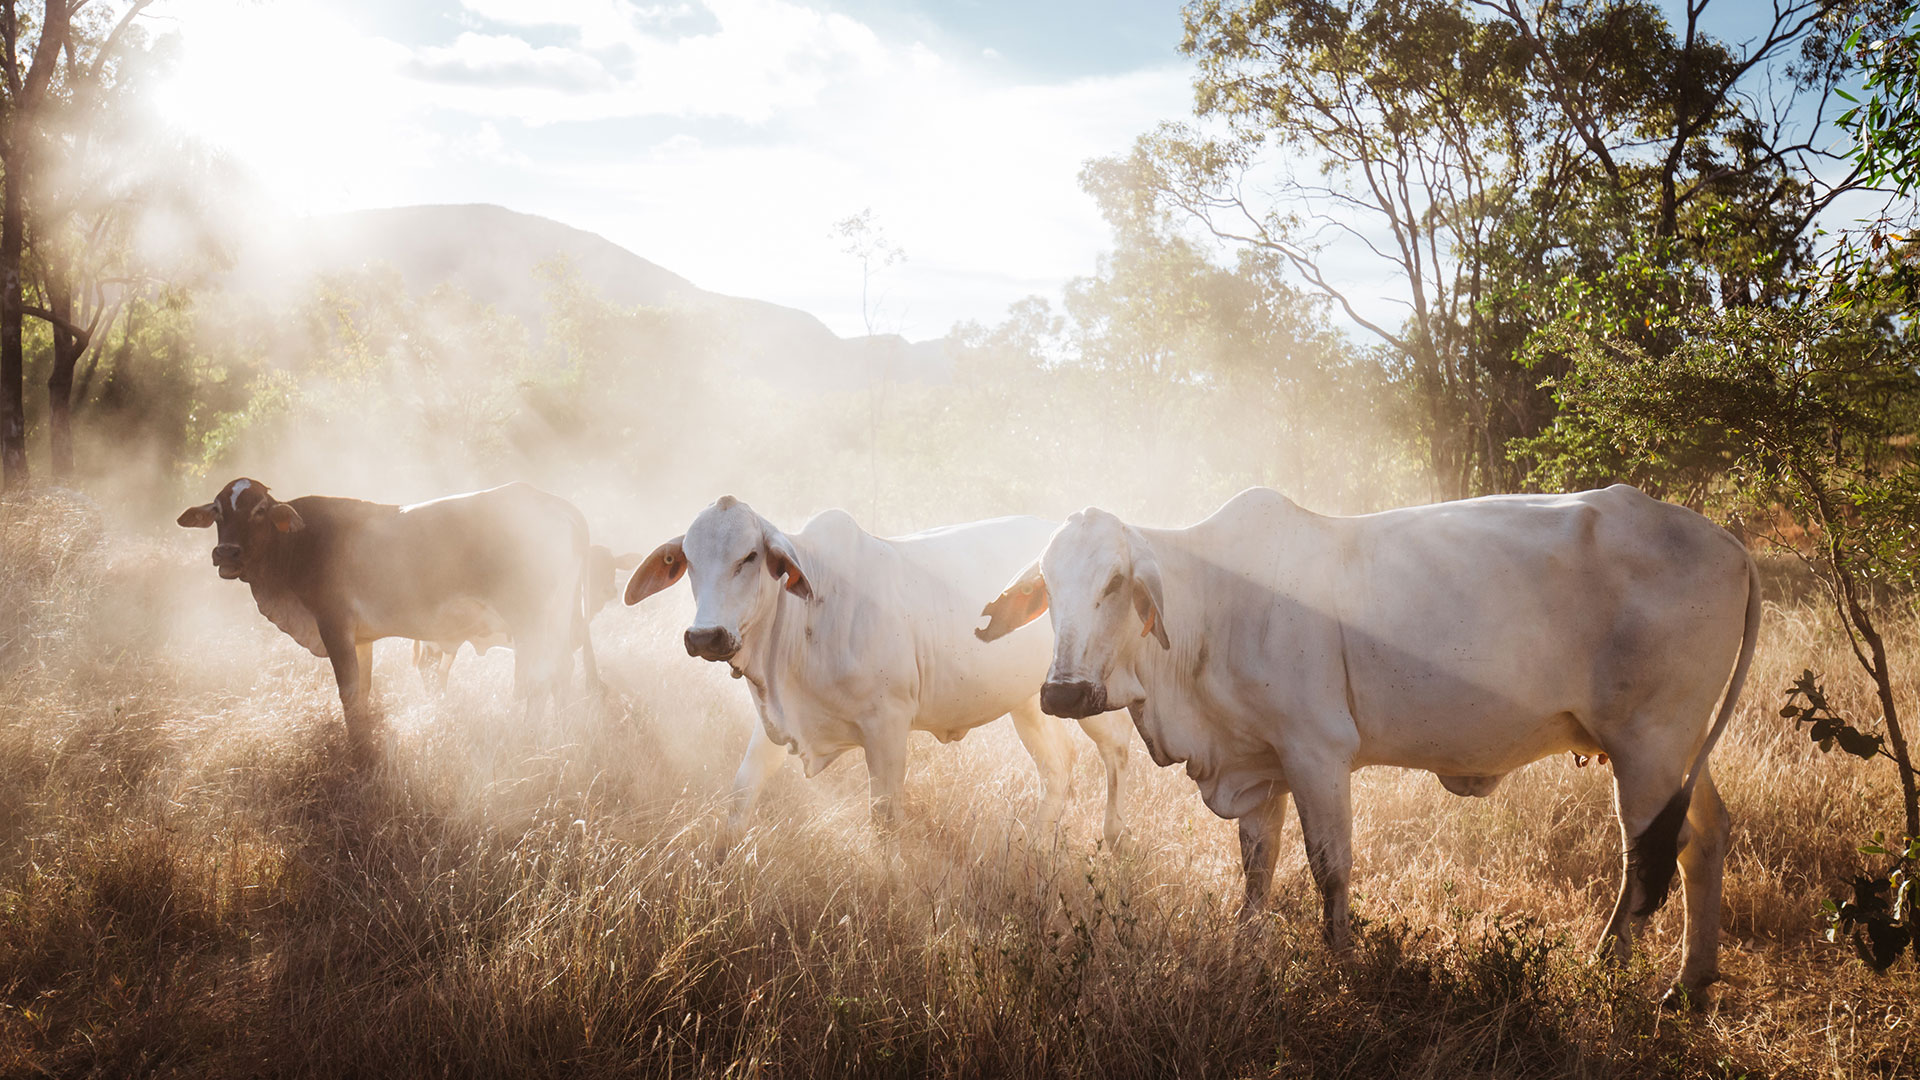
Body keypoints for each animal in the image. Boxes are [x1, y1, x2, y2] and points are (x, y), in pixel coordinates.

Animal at [178, 478, 599, 759]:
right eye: (218, 511)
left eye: (260, 510)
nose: (227, 553)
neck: (299, 544)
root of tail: (554, 503)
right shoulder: (361, 640)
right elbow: (363, 693)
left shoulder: (334, 627)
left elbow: (348, 693)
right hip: (558, 621)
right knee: (561, 675)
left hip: (532, 623)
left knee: (539, 681)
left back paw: (529, 740)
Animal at [411, 544, 640, 691]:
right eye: (590, 569)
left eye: (612, 567)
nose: (610, 591)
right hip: (435, 641)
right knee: (428, 668)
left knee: (440, 671)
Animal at [623, 496, 1133, 848]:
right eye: (688, 559)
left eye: (749, 556)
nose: (705, 636)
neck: (804, 620)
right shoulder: (776, 725)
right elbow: (739, 798)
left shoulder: (887, 726)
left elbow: (885, 821)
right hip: (1027, 701)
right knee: (1058, 766)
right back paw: (1035, 850)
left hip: (1085, 692)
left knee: (1117, 750)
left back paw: (1114, 839)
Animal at [977, 485, 1759, 1006]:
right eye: (1047, 585)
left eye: (1114, 582)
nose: (1063, 695)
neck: (1216, 607)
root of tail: (1730, 544)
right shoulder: (1260, 766)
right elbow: (1257, 868)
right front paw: (1248, 945)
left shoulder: (1317, 753)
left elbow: (1330, 868)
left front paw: (1343, 959)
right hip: (1676, 750)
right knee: (1705, 838)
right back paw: (1691, 984)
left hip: (1649, 746)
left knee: (1648, 852)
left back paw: (1609, 965)